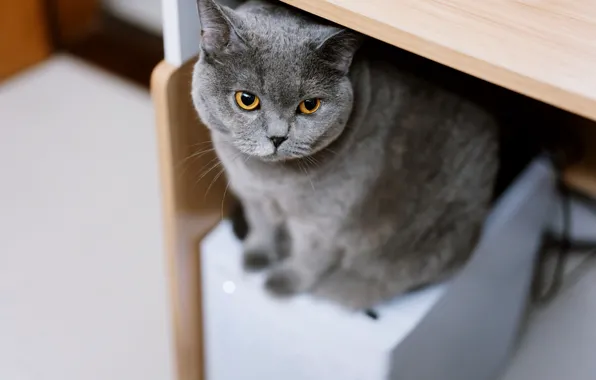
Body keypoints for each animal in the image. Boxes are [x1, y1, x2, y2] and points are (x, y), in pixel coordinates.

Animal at [191, 0, 498, 310]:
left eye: (310, 105)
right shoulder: (251, 195)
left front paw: (284, 282)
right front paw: (256, 255)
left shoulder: (322, 222)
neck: (270, 182)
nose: (278, 137)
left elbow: (309, 254)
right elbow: (261, 225)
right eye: (247, 100)